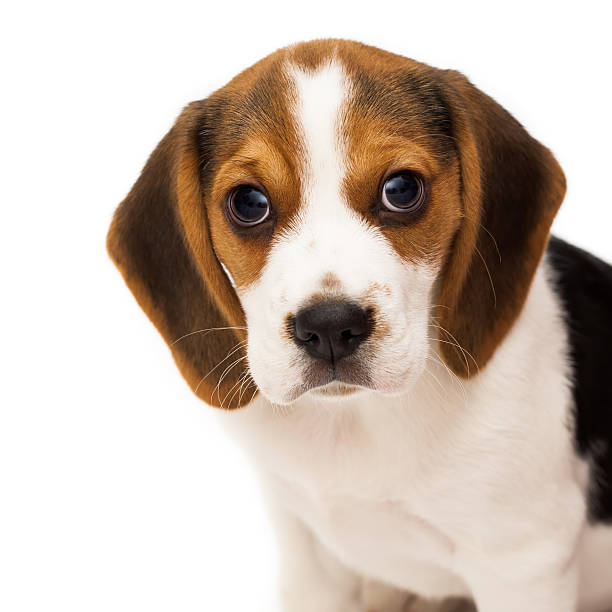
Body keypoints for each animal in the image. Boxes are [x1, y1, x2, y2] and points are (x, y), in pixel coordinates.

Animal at [107, 39, 612, 612]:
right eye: (249, 204)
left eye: (402, 189)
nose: (329, 327)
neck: (355, 420)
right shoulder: (306, 553)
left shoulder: (521, 562)